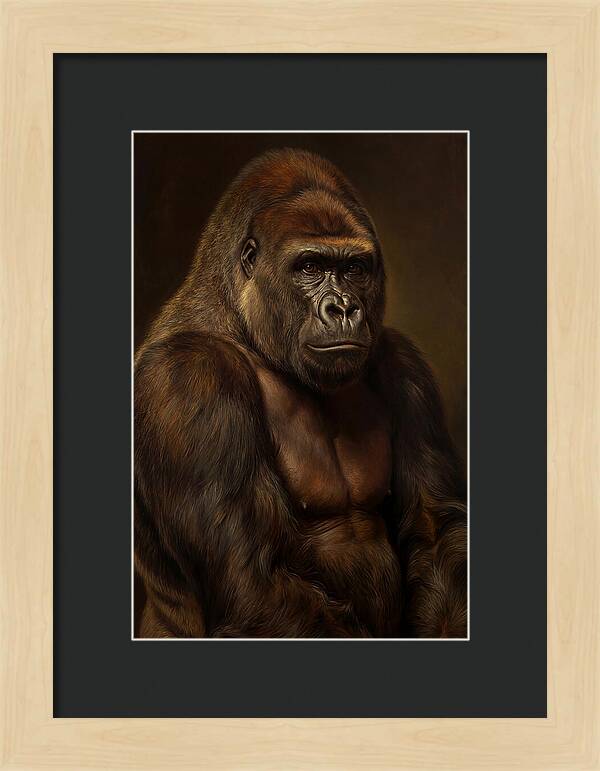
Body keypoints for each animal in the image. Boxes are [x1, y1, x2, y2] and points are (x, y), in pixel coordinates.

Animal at [134, 148, 467, 638]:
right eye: (309, 267)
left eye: (353, 269)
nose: (343, 308)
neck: (244, 325)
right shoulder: (189, 378)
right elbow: (251, 579)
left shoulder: (404, 366)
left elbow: (435, 530)